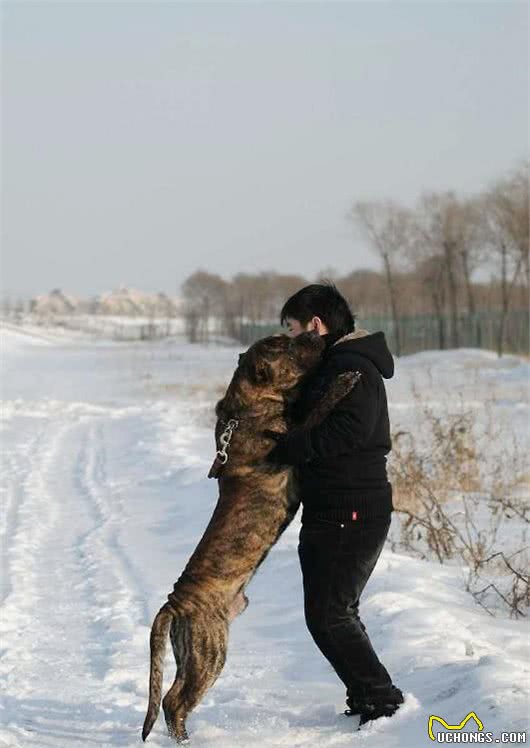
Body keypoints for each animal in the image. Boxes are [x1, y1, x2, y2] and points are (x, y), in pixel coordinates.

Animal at [140, 334, 358, 744]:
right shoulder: (295, 437)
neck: (247, 406)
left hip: (189, 653)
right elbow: (318, 409)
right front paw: (344, 382)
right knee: (174, 701)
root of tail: (173, 604)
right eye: (287, 346)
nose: (315, 336)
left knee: (172, 696)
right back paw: (187, 740)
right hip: (210, 652)